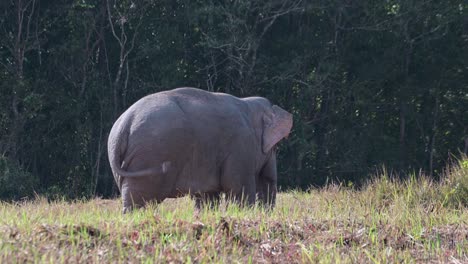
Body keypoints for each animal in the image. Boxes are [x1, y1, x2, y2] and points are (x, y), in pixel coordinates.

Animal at [109, 87, 292, 213]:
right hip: (150, 155)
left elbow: (207, 196)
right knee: (142, 199)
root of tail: (125, 123)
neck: (248, 103)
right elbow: (238, 187)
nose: (264, 212)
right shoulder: (240, 146)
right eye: (275, 147)